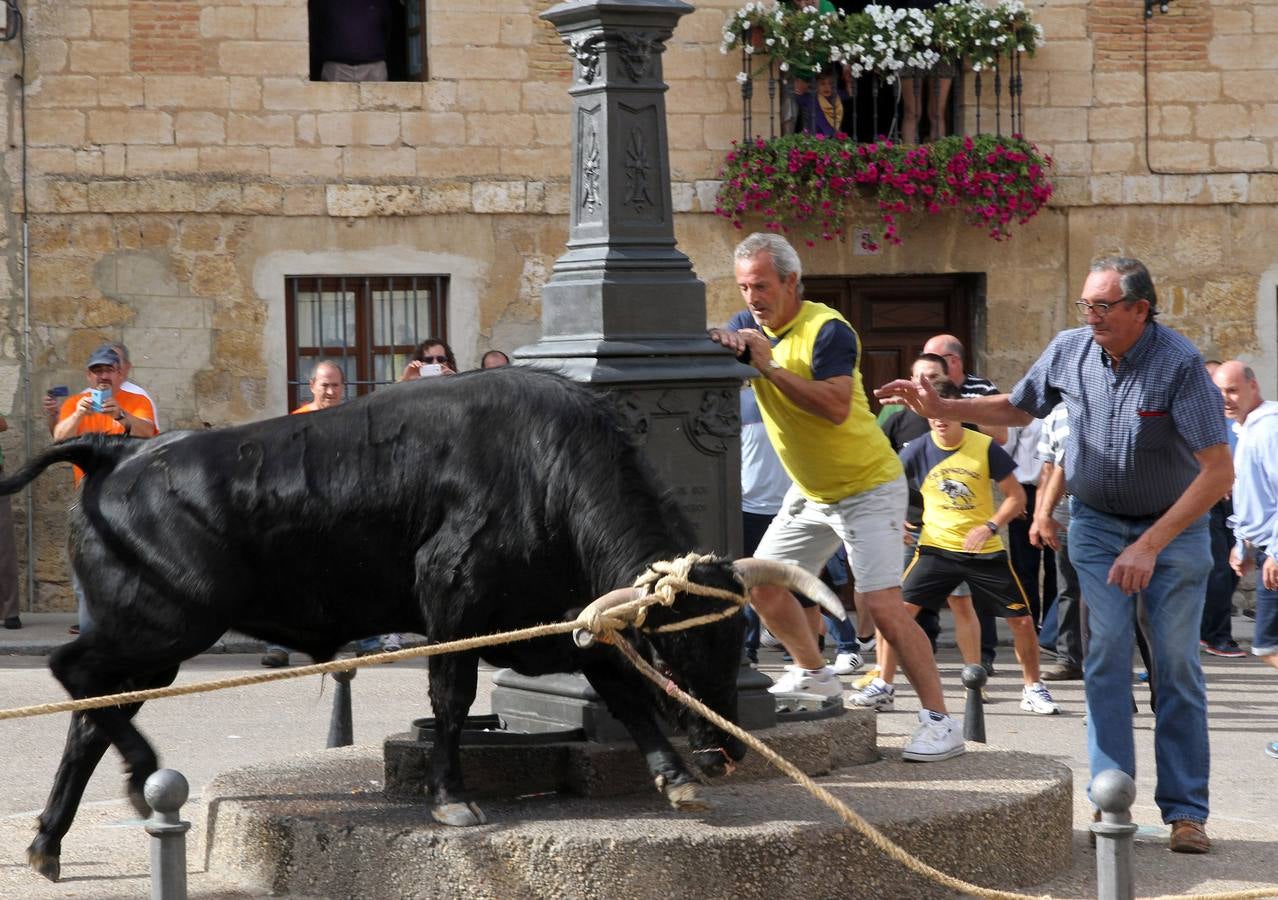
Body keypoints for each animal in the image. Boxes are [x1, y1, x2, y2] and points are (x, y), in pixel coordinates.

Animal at [2, 368, 838, 884]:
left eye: (734, 643)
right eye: (674, 651)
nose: (728, 754)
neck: (546, 469)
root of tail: (121, 447)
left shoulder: (570, 618)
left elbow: (622, 698)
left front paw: (674, 779)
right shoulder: (452, 605)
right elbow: (451, 702)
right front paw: (451, 796)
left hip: (155, 642)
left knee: (91, 716)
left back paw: (49, 840)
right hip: (163, 623)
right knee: (75, 677)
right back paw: (138, 777)